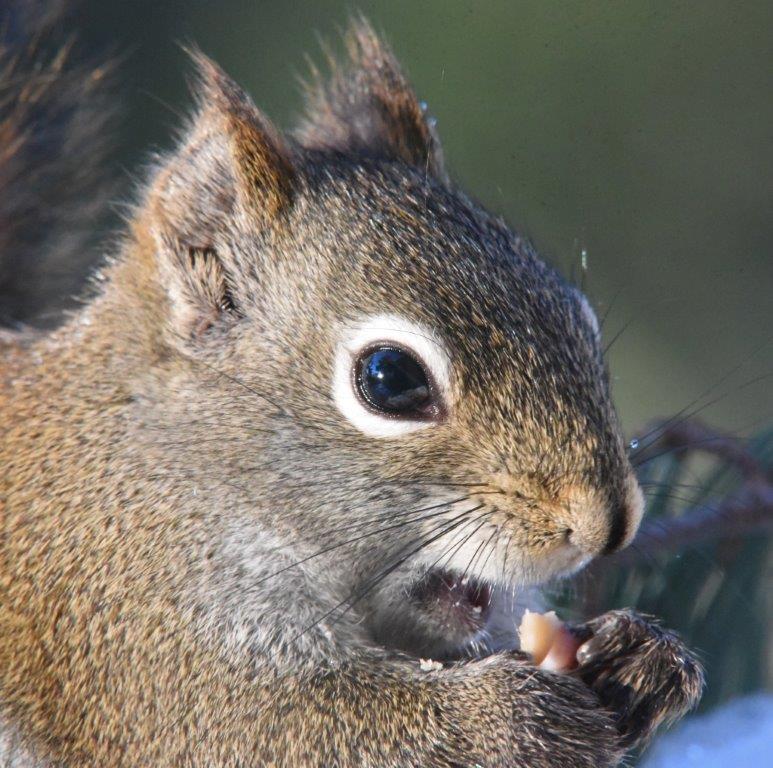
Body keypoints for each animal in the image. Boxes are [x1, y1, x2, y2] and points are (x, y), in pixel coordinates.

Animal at [0, 7, 703, 768]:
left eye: (578, 315)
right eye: (389, 378)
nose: (608, 524)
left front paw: (644, 659)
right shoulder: (122, 618)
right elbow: (258, 731)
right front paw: (509, 717)